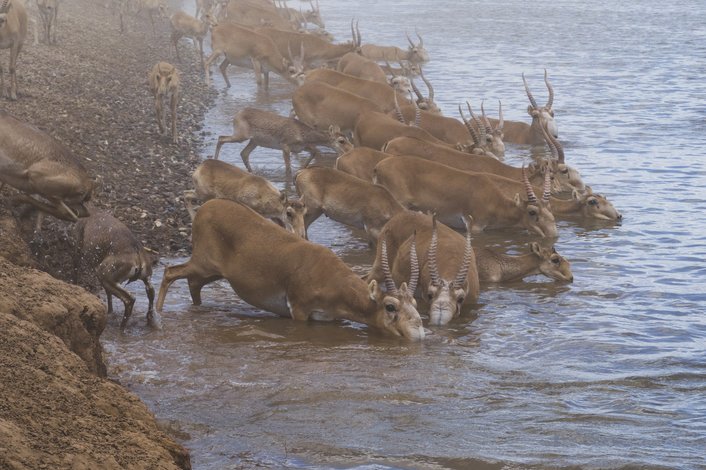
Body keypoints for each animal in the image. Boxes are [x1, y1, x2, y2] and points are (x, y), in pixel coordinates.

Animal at [157, 199, 424, 342]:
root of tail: (204, 208)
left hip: (210, 272)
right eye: (390, 306)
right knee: (170, 272)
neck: (332, 280)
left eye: (415, 303)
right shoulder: (299, 308)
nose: (419, 332)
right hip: (202, 262)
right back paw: (157, 314)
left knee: (193, 284)